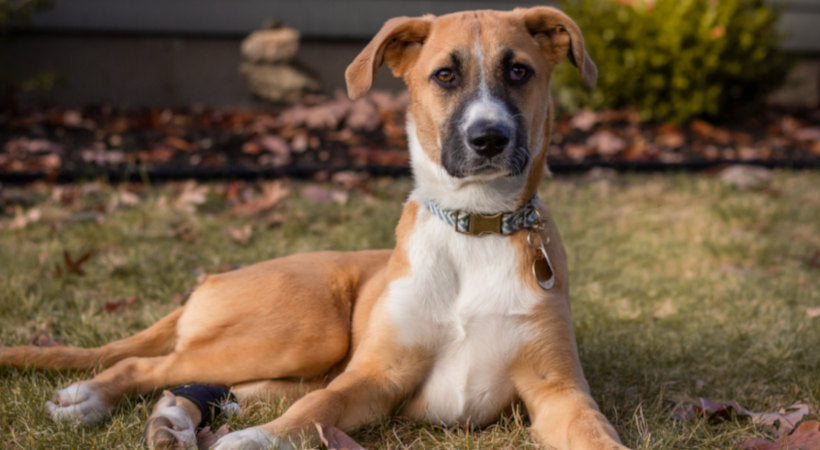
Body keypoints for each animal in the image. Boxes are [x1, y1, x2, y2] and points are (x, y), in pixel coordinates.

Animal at [0, 7, 628, 450]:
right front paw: (255, 443)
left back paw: (172, 422)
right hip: (306, 333)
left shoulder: (558, 393)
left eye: (519, 71)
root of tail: (209, 281)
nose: (489, 138)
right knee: (149, 366)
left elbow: (597, 434)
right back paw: (87, 399)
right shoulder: (373, 378)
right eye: (445, 75)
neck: (474, 228)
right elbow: (317, 411)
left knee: (211, 387)